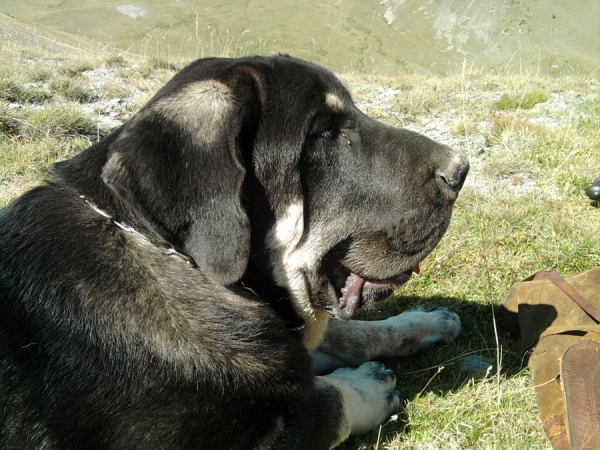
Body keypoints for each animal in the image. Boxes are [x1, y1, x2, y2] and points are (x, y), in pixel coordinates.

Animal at [0, 54, 468, 448]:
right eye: (323, 133)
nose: (461, 170)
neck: (177, 260)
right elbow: (326, 403)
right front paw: (365, 386)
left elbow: (343, 333)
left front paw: (420, 322)